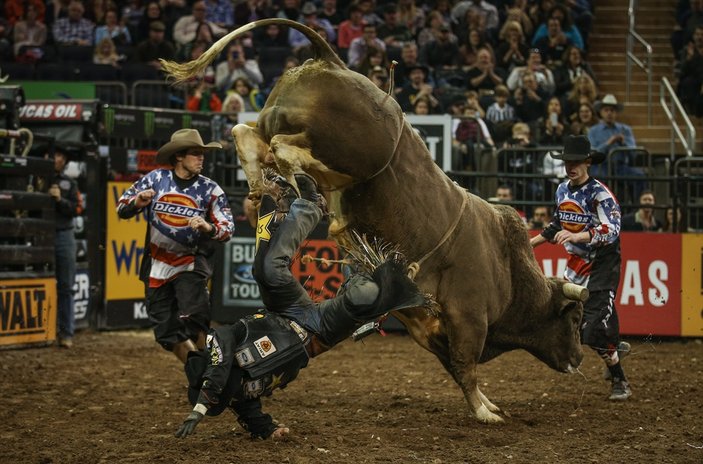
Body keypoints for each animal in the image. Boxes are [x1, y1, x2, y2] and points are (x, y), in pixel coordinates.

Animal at [162, 19, 584, 424]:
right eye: (575, 319)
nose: (579, 359)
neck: (507, 268)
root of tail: (331, 61)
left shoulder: (427, 327)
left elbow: (455, 367)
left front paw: (487, 404)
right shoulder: (469, 317)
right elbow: (466, 366)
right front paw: (485, 413)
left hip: (277, 127)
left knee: (245, 133)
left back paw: (263, 186)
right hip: (344, 151)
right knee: (283, 147)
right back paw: (297, 181)